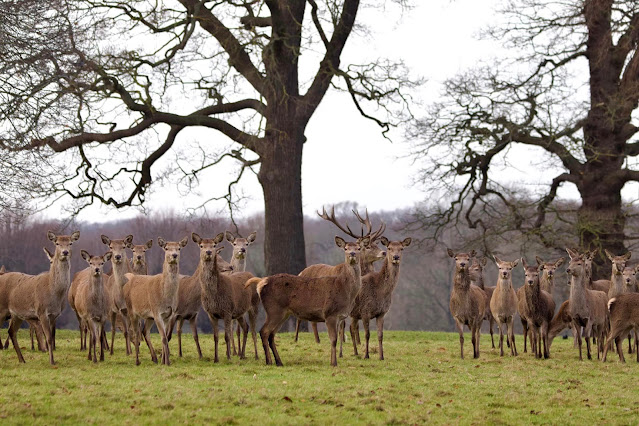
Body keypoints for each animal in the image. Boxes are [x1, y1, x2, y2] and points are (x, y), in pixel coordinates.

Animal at [0, 231, 80, 364]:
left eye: (70, 243)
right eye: (57, 243)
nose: (65, 252)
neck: (54, 292)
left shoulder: (54, 315)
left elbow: (51, 337)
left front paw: (52, 359)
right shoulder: (42, 311)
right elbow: (48, 338)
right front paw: (51, 361)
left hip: (16, 314)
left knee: (11, 331)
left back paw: (22, 360)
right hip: (2, 308)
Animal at [122, 236, 188, 366]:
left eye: (179, 248)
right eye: (166, 248)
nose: (174, 255)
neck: (165, 297)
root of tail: (131, 278)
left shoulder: (168, 315)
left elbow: (165, 337)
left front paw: (164, 360)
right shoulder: (157, 312)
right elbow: (163, 337)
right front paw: (167, 362)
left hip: (149, 316)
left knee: (144, 331)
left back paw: (154, 358)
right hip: (132, 310)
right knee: (135, 332)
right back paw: (137, 361)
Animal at [254, 235, 368, 368]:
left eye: (359, 248)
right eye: (345, 248)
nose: (352, 254)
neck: (346, 292)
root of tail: (260, 285)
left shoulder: (340, 317)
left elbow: (337, 338)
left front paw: (332, 361)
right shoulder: (330, 313)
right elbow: (333, 339)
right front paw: (334, 363)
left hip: (283, 313)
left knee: (271, 334)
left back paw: (279, 362)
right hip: (274, 309)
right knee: (264, 331)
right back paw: (269, 361)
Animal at [296, 208, 384, 344]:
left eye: (376, 244)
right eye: (369, 246)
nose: (384, 252)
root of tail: (301, 272)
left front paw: (356, 342)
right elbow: (344, 323)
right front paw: (345, 340)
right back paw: (310, 340)